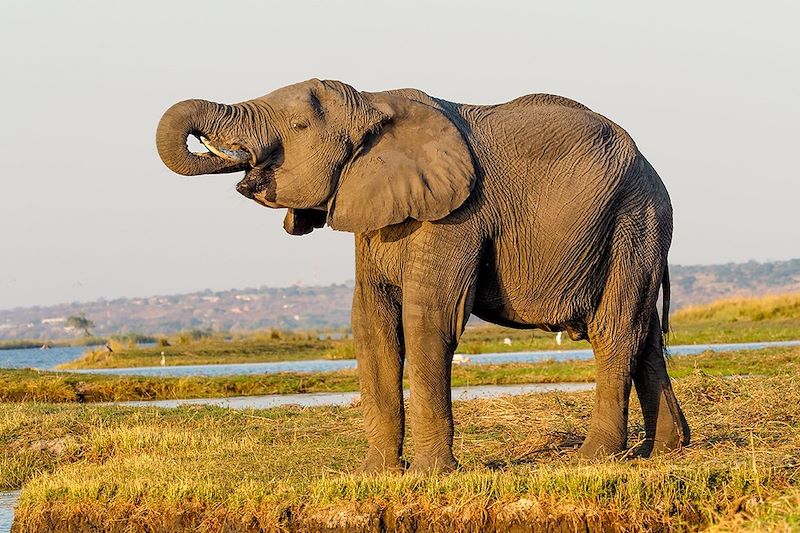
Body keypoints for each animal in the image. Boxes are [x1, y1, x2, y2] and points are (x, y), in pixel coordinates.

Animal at [155, 78, 688, 470]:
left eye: (299, 124)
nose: (216, 147)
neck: (371, 103)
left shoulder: (458, 214)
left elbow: (428, 320)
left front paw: (433, 474)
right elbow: (371, 324)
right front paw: (378, 475)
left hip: (634, 218)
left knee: (614, 328)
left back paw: (594, 457)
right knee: (642, 333)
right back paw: (664, 449)